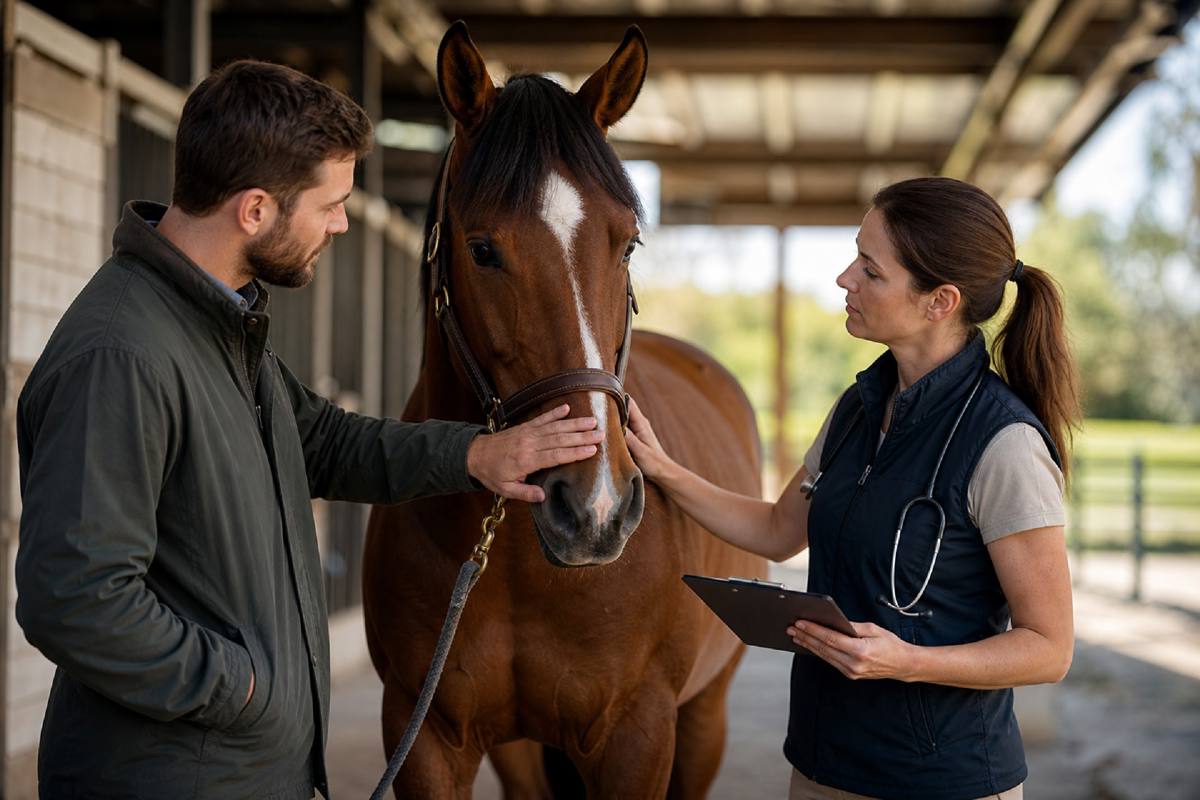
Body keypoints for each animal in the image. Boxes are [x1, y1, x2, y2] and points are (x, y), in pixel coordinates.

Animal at [362, 22, 767, 798]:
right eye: (482, 249)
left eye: (628, 242)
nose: (594, 509)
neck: (521, 566)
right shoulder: (423, 735)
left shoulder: (636, 736)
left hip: (705, 717)